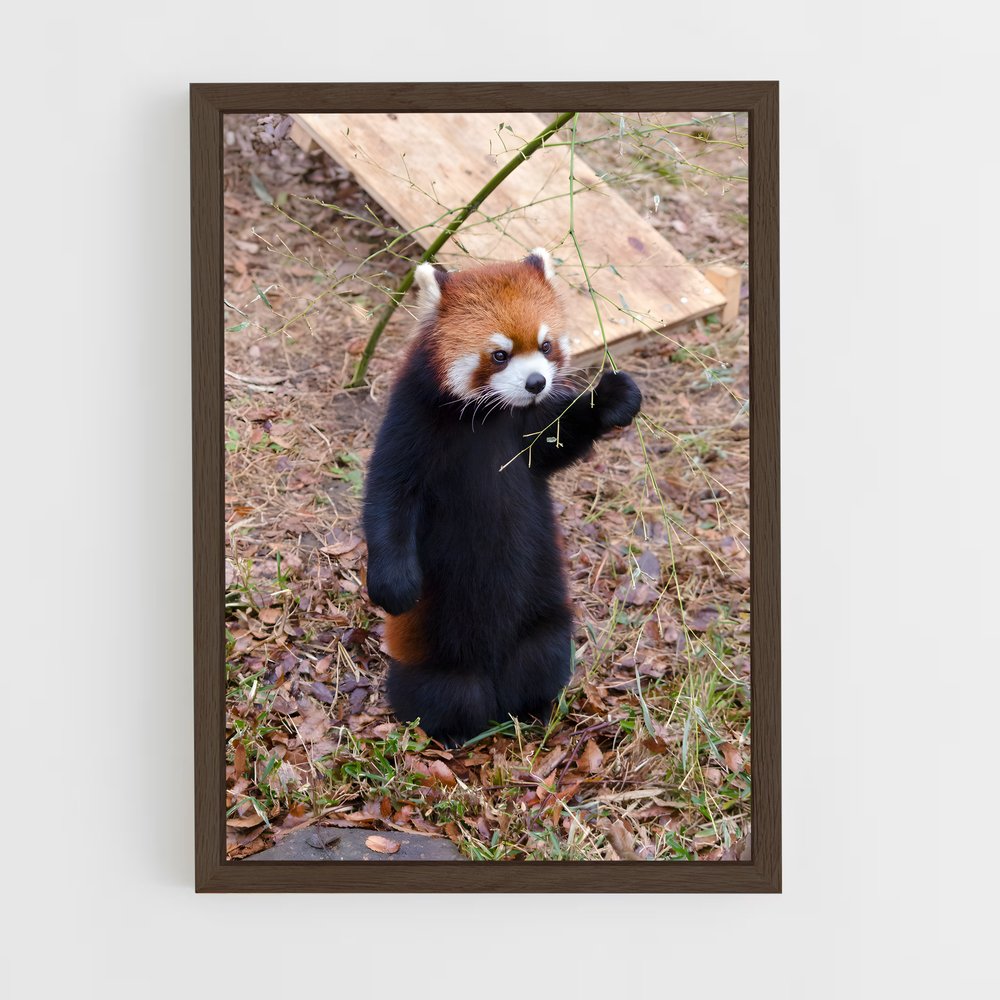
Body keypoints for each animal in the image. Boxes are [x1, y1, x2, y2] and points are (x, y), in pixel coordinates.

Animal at [362, 248, 642, 745]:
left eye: (546, 346)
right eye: (499, 354)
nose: (535, 383)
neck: (491, 416)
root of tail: (494, 681)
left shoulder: (530, 432)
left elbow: (560, 441)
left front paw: (610, 397)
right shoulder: (412, 421)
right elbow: (389, 495)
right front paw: (394, 585)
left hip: (544, 626)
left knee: (542, 658)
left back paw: (536, 708)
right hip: (436, 657)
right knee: (444, 693)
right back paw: (451, 733)